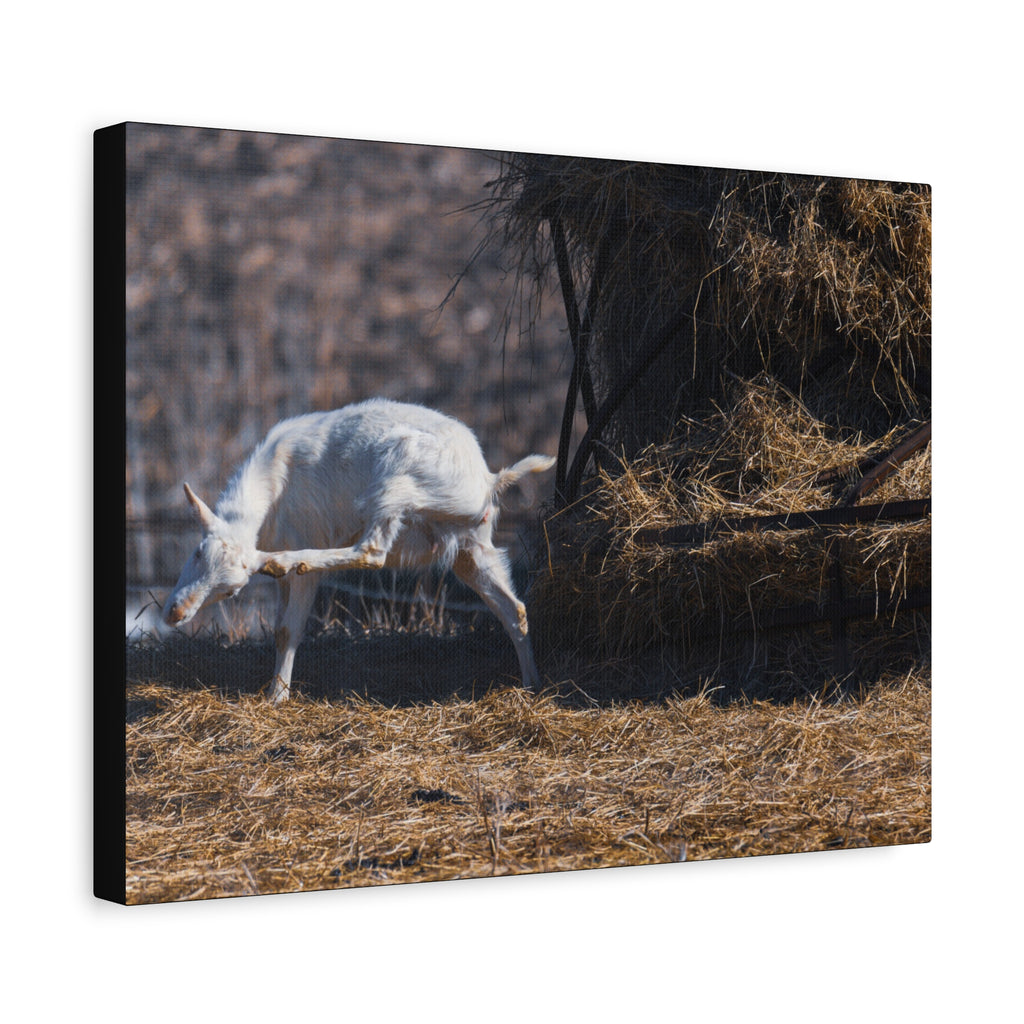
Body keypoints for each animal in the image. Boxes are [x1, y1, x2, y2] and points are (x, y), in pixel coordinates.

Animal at [162, 399, 555, 702]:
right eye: (197, 553)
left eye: (231, 591)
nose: (174, 613)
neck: (273, 483)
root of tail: (489, 480)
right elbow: (277, 628)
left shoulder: (306, 537)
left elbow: (289, 629)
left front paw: (276, 697)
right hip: (472, 547)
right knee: (513, 608)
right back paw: (531, 683)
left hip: (395, 482)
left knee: (373, 551)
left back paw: (286, 561)